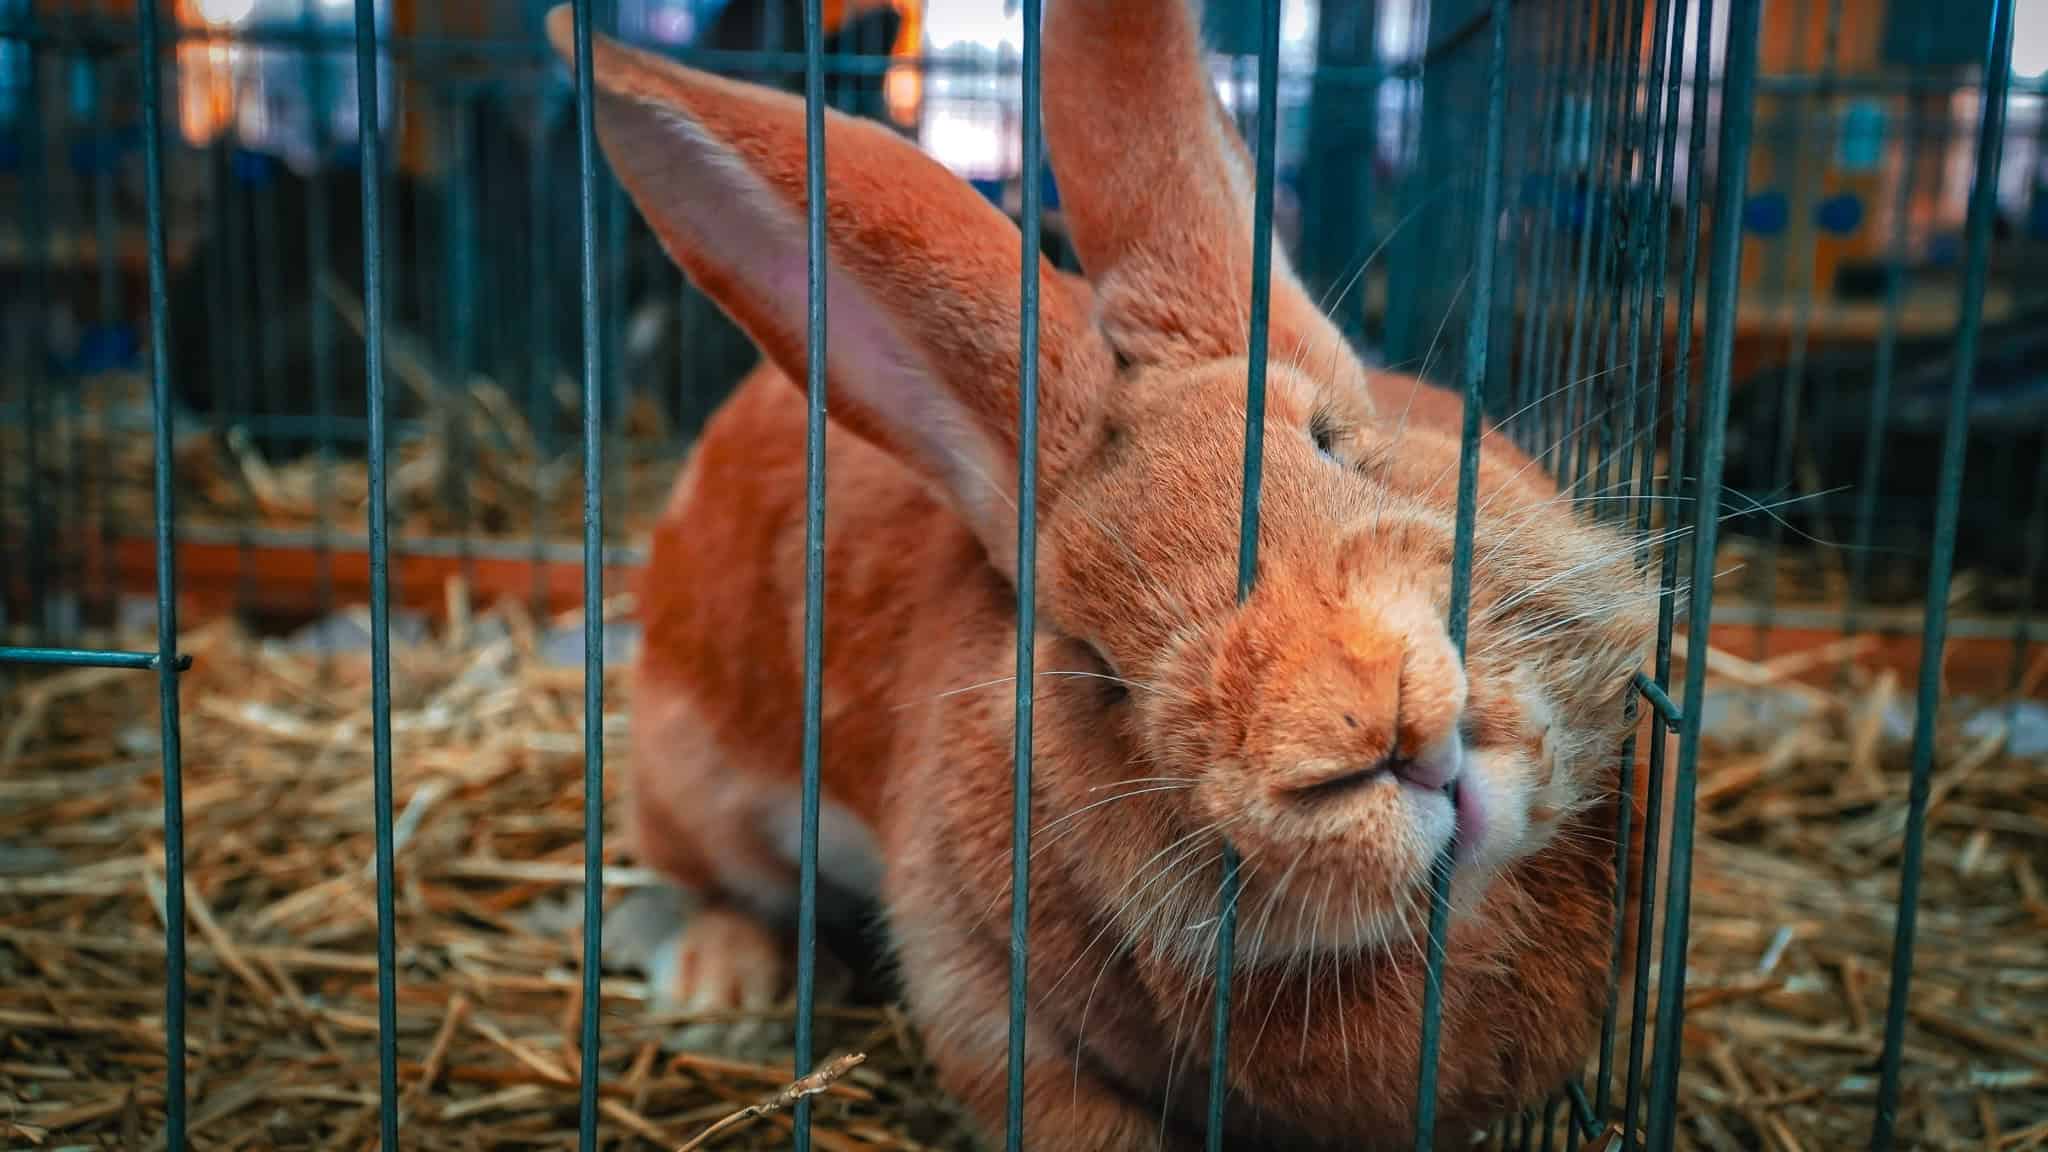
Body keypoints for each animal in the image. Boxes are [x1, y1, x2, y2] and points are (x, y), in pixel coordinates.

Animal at [548, 0, 1662, 1139]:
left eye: (1334, 444)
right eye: (1097, 664)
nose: (1380, 734)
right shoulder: (985, 1004)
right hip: (696, 785)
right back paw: (721, 985)